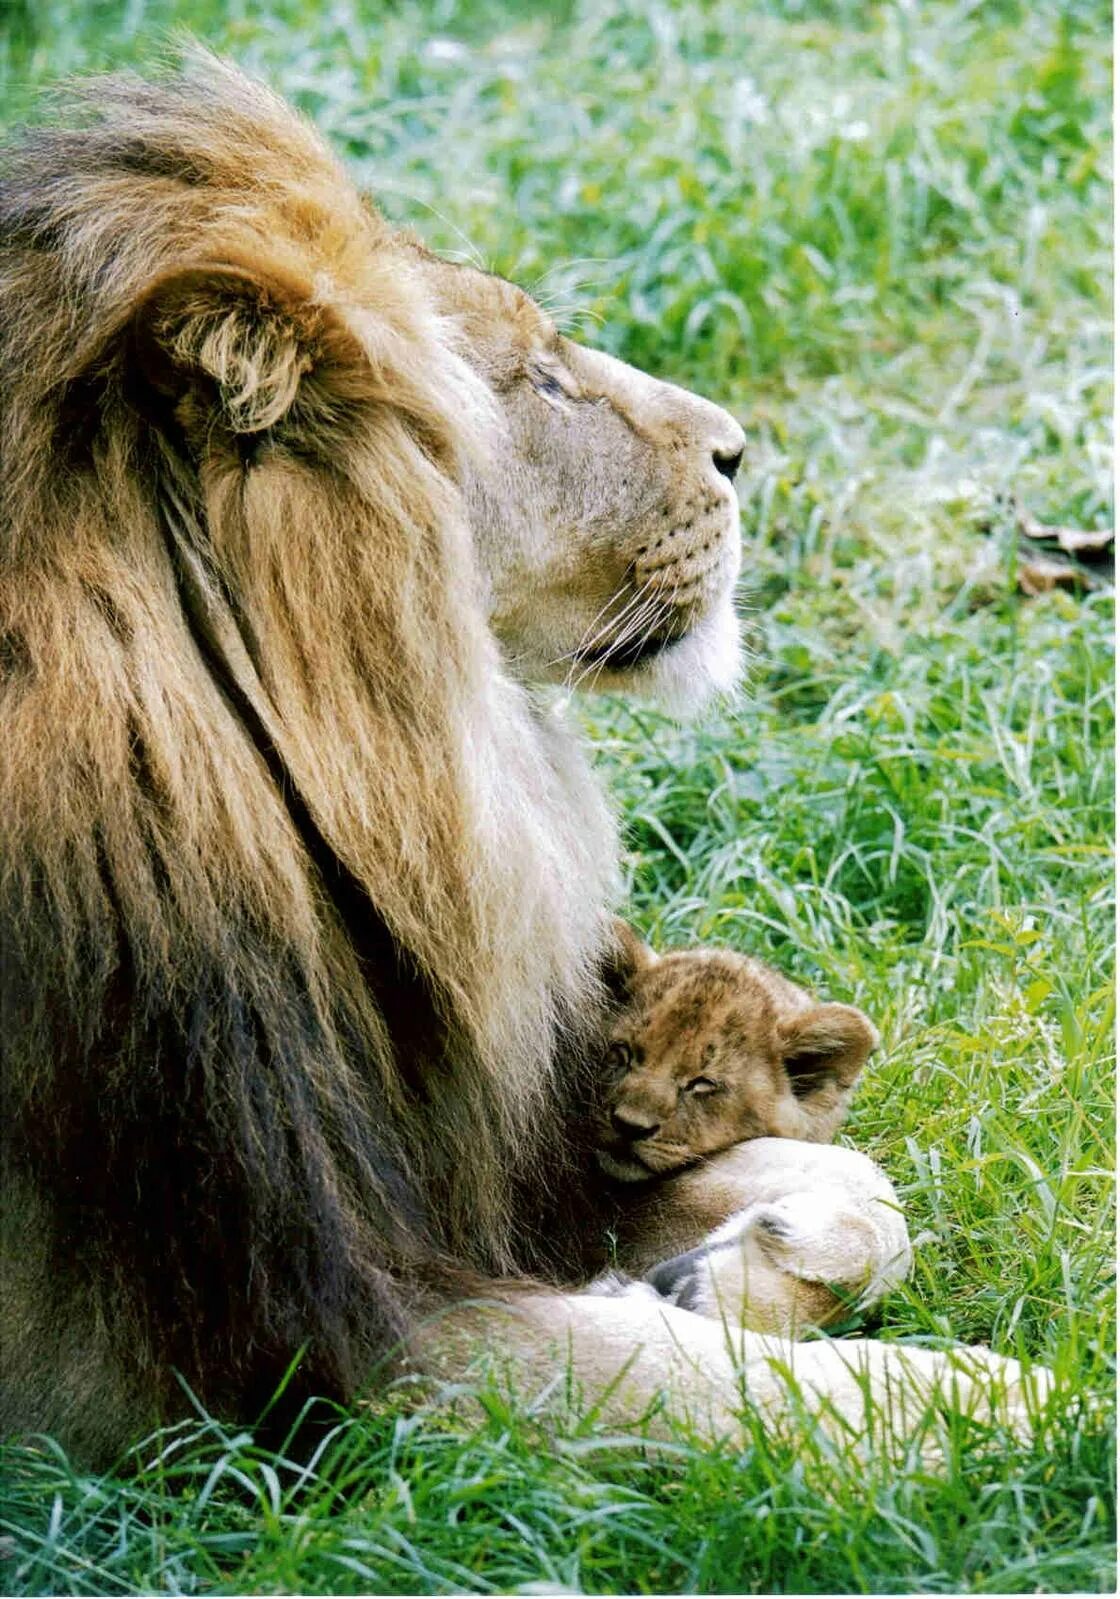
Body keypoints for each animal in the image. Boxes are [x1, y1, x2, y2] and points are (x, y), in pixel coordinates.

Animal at [2, 59, 1043, 1464]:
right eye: (538, 382)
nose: (737, 448)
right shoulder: (263, 1354)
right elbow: (682, 1381)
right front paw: (1013, 1405)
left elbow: (848, 1176)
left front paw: (740, 1265)